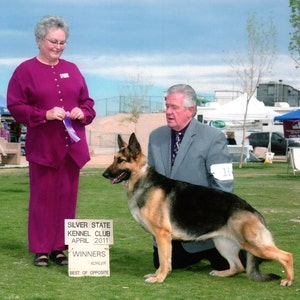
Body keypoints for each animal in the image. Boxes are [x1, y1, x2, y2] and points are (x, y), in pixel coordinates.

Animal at [102, 134, 292, 286]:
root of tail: (253, 210)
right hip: (223, 243)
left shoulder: (163, 236)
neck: (141, 179)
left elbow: (164, 261)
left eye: (120, 160)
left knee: (286, 255)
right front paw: (157, 275)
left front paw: (159, 278)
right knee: (238, 266)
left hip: (254, 244)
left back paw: (288, 280)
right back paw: (221, 273)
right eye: (113, 158)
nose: (104, 175)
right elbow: (164, 261)